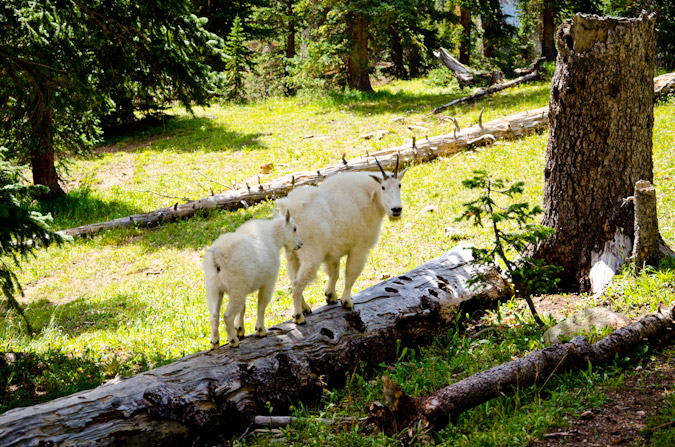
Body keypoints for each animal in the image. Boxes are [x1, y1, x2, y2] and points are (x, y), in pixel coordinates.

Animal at [278, 156, 410, 324]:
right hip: (310, 255)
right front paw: (347, 302)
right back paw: (298, 316)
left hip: (292, 255)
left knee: (293, 279)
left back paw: (306, 308)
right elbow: (351, 274)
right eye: (383, 187)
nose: (396, 210)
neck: (370, 197)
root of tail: (288, 209)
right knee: (297, 284)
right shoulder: (359, 248)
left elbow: (334, 273)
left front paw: (330, 297)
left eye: (399, 185)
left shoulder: (333, 252)